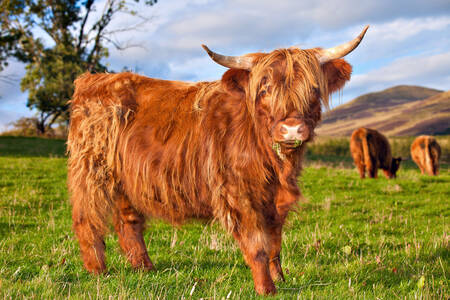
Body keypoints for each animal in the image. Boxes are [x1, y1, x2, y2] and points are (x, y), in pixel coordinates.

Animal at [67, 26, 370, 296]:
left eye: (314, 89)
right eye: (264, 89)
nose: (292, 129)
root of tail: (91, 80)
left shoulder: (275, 200)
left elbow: (274, 243)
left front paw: (280, 279)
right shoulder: (238, 193)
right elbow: (258, 245)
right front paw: (266, 288)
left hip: (124, 181)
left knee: (128, 221)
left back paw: (144, 268)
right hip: (92, 172)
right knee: (87, 219)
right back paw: (97, 270)